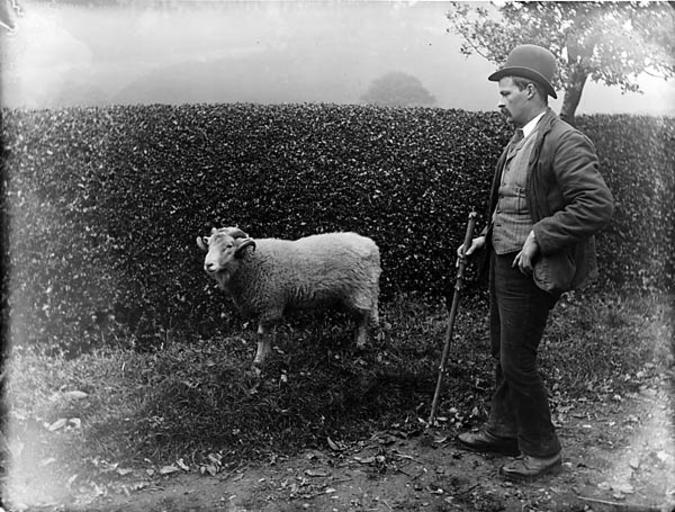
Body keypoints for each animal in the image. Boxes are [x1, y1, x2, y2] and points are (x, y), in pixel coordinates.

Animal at [196, 227, 381, 367]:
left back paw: (361, 345)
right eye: (209, 245)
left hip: (361, 290)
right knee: (364, 317)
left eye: (229, 246)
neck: (250, 263)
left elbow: (262, 335)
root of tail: (372, 245)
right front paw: (266, 356)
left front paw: (258, 362)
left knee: (364, 318)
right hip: (357, 293)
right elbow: (268, 335)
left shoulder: (270, 306)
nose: (208, 265)